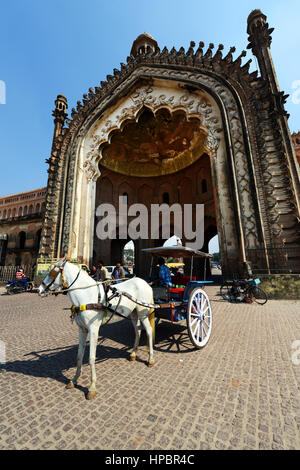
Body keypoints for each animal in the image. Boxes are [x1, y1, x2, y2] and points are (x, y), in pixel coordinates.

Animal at [38, 258, 155, 398]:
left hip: (143, 313)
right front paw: (74, 380)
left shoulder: (93, 329)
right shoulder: (82, 329)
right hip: (133, 313)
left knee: (148, 331)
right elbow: (79, 356)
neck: (86, 296)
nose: (39, 289)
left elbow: (91, 357)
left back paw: (151, 359)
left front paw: (92, 387)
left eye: (53, 272)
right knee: (137, 331)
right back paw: (133, 353)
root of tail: (145, 283)